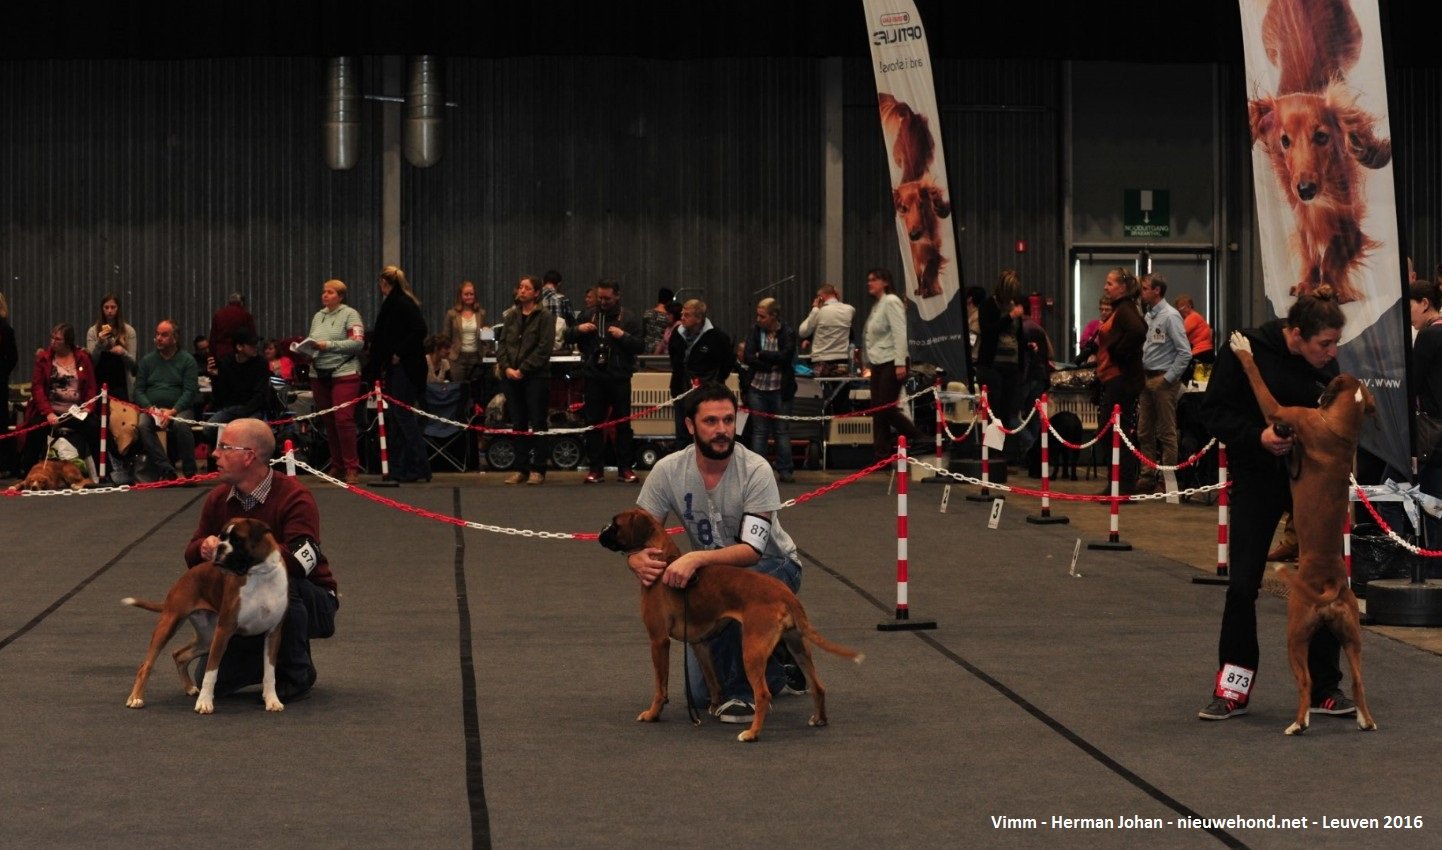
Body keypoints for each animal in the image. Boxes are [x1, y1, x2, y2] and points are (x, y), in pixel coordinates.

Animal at [122, 516, 288, 710]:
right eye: (221, 537)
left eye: (237, 540)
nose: (219, 547)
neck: (260, 575)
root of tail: (185, 576)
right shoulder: (224, 631)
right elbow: (211, 672)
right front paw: (204, 703)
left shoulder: (273, 634)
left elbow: (269, 673)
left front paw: (272, 700)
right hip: (171, 623)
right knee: (146, 664)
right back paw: (136, 698)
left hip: (208, 637)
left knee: (179, 655)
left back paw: (189, 688)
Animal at [599, 507, 859, 738]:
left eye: (616, 524)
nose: (600, 531)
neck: (663, 561)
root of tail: (784, 593)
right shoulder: (700, 644)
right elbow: (713, 680)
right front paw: (715, 706)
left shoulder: (658, 641)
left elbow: (660, 686)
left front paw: (653, 714)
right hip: (798, 646)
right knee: (818, 686)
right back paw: (819, 719)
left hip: (752, 650)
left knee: (763, 694)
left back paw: (752, 733)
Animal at [1222, 327, 1378, 733]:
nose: (1320, 381)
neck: (1340, 428)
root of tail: (1330, 587)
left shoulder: (1280, 412)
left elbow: (1258, 380)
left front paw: (1242, 348)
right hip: (1353, 638)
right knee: (1359, 680)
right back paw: (1365, 721)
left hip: (1295, 635)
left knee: (1306, 682)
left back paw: (1298, 723)